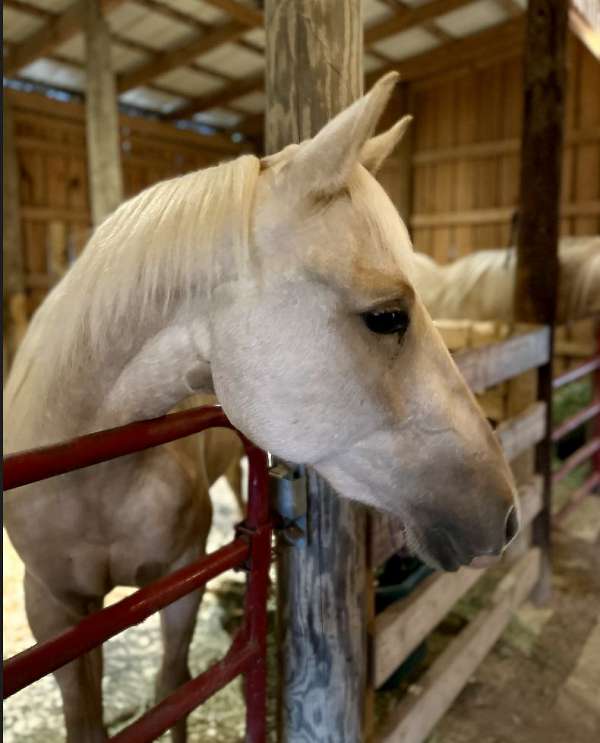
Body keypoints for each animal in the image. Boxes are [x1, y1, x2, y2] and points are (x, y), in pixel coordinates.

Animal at [4, 71, 516, 743]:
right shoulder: (55, 613)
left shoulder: (180, 580)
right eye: (386, 316)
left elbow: (174, 688)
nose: (506, 517)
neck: (88, 467)